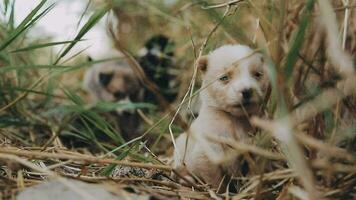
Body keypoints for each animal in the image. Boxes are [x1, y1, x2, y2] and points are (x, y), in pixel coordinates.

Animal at [172, 44, 270, 191]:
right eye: (224, 78)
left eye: (257, 75)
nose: (247, 91)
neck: (236, 119)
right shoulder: (207, 152)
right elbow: (215, 179)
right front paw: (220, 191)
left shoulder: (255, 146)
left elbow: (255, 169)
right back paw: (187, 180)